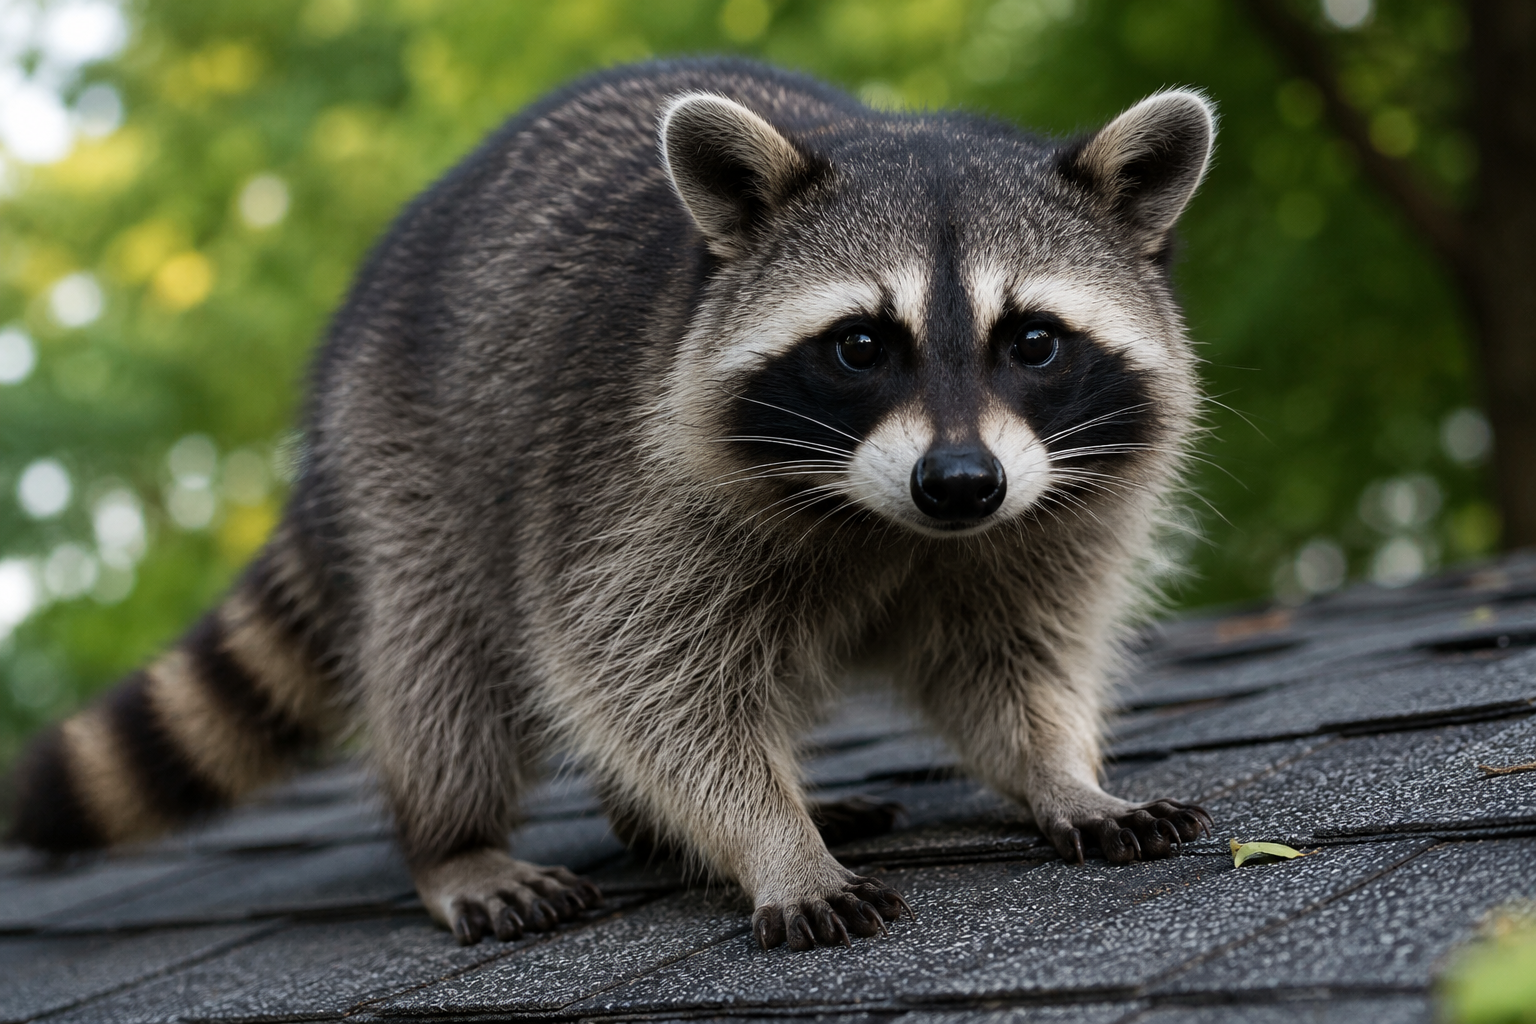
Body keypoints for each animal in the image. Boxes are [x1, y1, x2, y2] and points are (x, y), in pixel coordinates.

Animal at [6, 59, 1216, 951]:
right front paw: (772, 842)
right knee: (442, 671)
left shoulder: (1048, 509)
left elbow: (1015, 654)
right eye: (863, 346)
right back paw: (453, 840)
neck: (892, 524)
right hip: (408, 472)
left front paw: (1062, 774)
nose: (960, 484)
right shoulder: (629, 485)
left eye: (1034, 340)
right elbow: (644, 678)